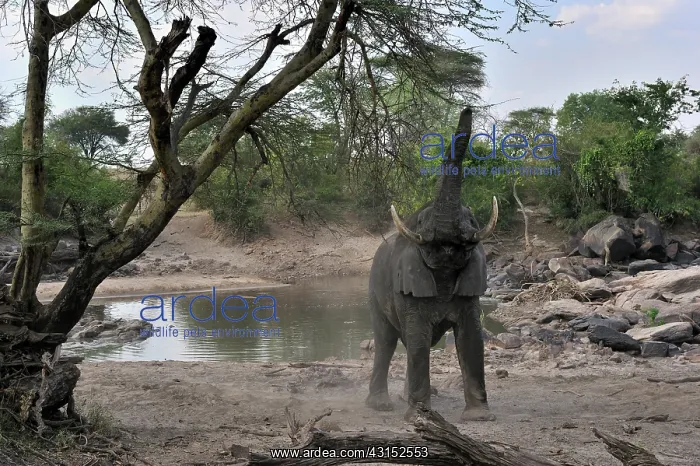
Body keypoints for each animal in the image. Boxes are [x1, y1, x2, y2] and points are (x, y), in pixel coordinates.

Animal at [365, 107, 499, 422]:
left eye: (471, 219)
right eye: (423, 222)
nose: (467, 109)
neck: (444, 273)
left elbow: (470, 337)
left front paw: (479, 418)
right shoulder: (408, 283)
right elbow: (418, 339)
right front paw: (419, 417)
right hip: (374, 291)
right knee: (386, 342)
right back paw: (380, 405)